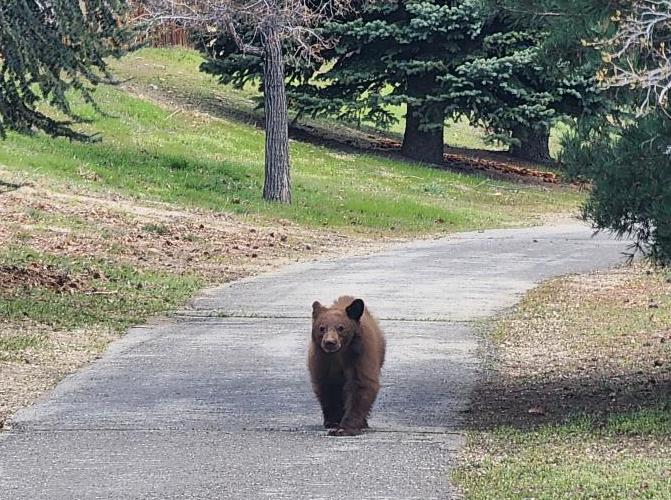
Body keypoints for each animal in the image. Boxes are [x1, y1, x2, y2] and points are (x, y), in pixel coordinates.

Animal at [308, 295, 386, 436]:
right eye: (322, 328)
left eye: (341, 328)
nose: (330, 343)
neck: (339, 355)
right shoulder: (322, 360)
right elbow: (328, 387)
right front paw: (333, 422)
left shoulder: (360, 354)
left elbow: (361, 385)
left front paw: (345, 428)